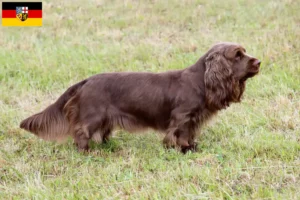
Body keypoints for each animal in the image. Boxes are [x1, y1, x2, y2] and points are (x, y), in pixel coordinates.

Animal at [20, 41, 260, 152]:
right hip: (92, 115)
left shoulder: (194, 119)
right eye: (237, 55)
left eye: (244, 52)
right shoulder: (183, 116)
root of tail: (85, 81)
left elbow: (190, 133)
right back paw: (88, 152)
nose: (259, 62)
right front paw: (183, 148)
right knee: (81, 132)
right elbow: (180, 133)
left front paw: (191, 145)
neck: (201, 81)